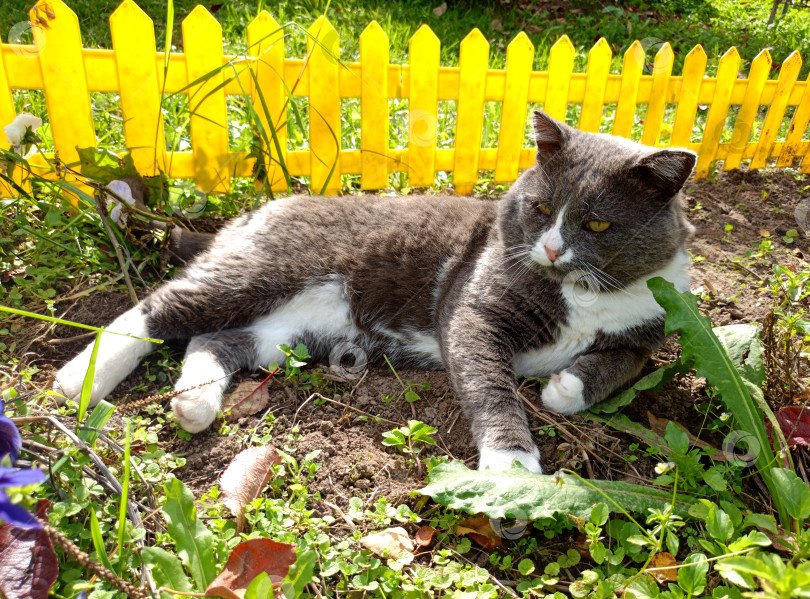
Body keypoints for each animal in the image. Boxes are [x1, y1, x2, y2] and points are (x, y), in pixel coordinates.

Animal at [55, 111, 696, 474]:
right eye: (540, 208)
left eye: (597, 224)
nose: (552, 250)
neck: (583, 295)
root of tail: (254, 213)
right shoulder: (471, 313)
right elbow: (488, 382)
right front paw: (511, 460)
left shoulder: (649, 329)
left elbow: (624, 364)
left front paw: (565, 388)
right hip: (262, 271)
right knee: (160, 308)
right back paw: (79, 380)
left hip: (286, 332)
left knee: (213, 340)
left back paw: (194, 404)